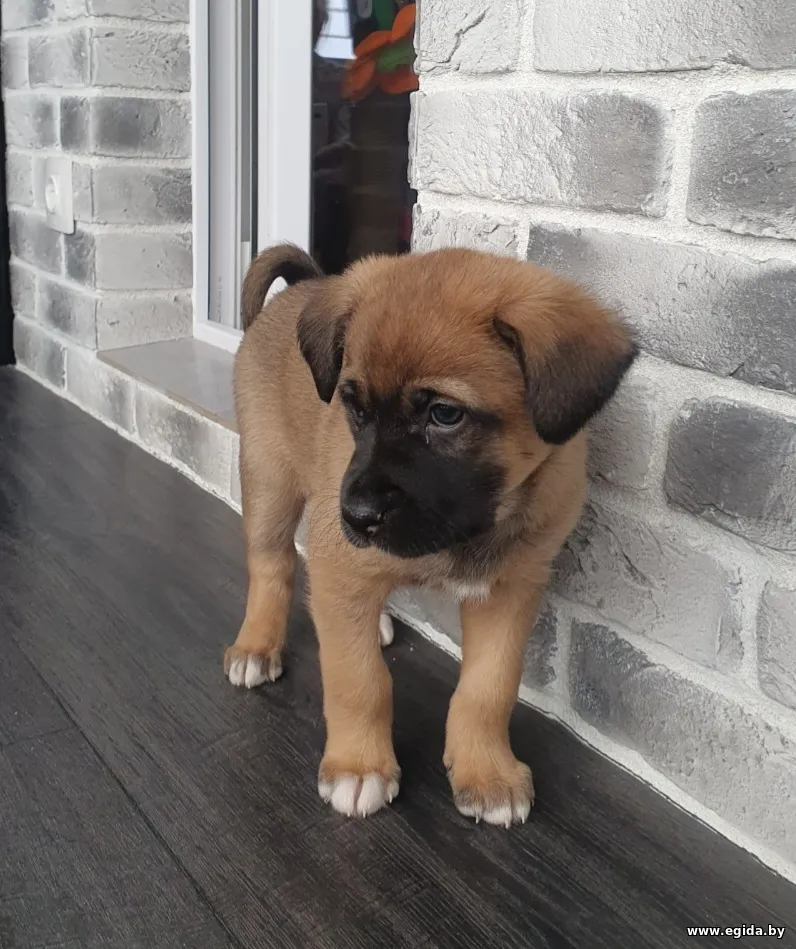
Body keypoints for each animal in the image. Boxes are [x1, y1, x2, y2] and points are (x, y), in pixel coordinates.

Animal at [225, 243, 636, 826]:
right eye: (353, 406)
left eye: (445, 414)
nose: (355, 515)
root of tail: (303, 288)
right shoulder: (342, 565)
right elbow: (359, 681)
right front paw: (359, 766)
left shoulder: (510, 590)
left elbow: (489, 688)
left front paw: (486, 771)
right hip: (269, 483)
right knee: (272, 567)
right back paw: (256, 646)